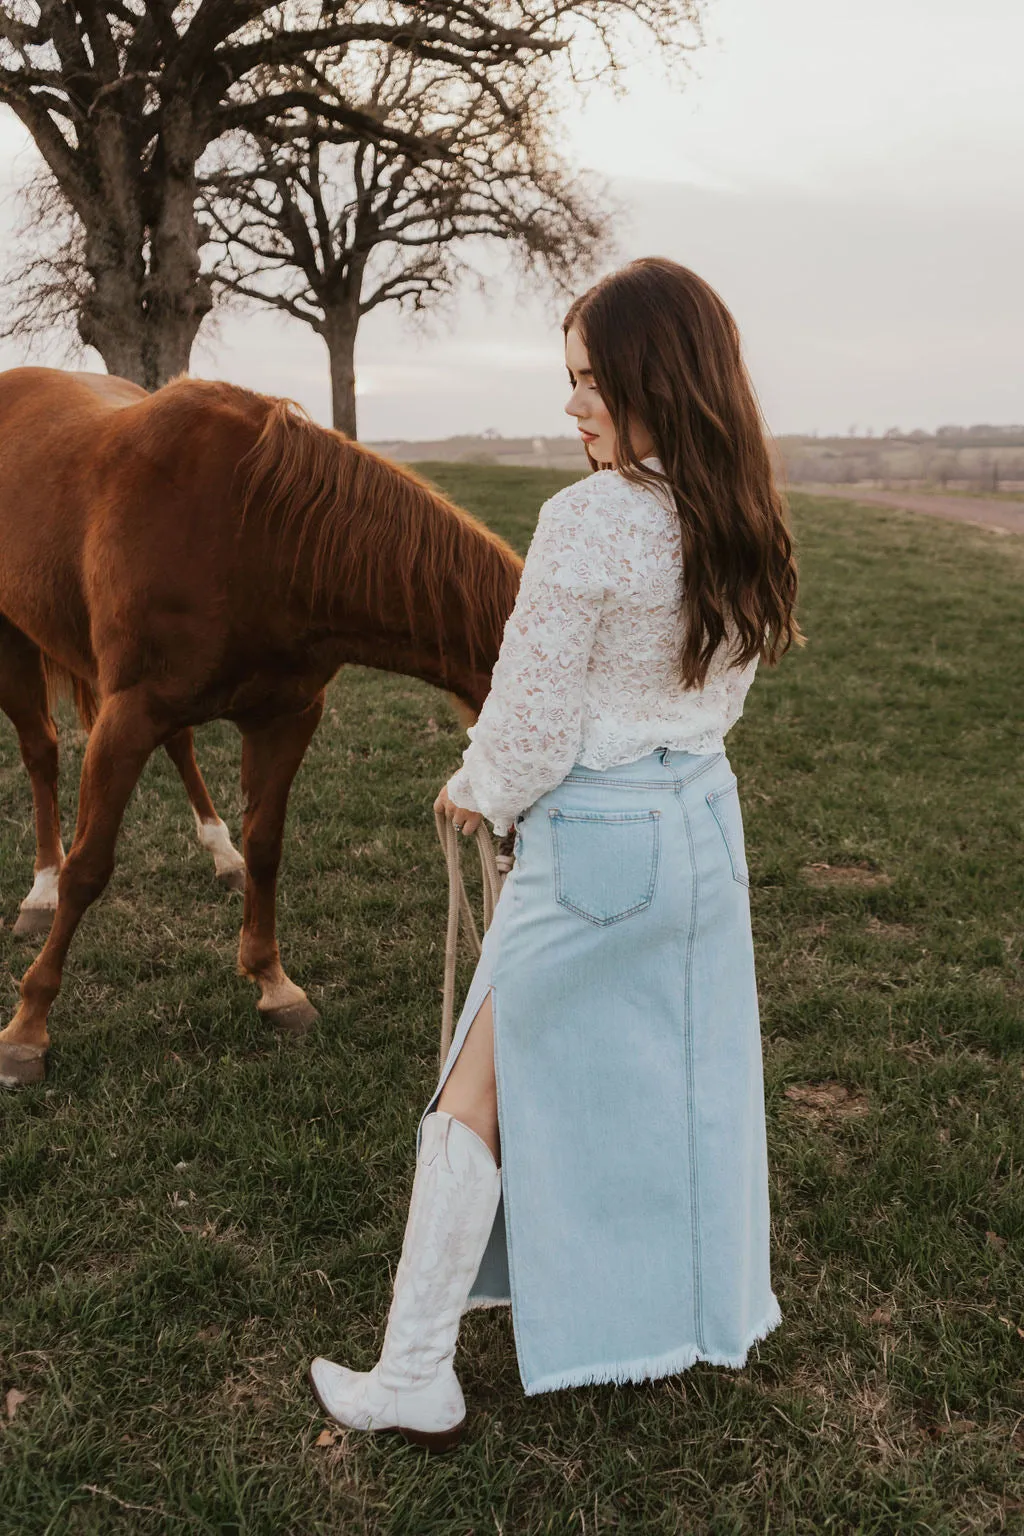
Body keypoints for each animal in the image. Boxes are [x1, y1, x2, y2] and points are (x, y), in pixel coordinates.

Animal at [0, 365, 525, 1087]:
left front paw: (274, 984)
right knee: (41, 754)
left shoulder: (285, 717)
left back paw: (220, 855)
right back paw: (40, 891)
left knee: (179, 746)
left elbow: (268, 848)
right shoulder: (126, 714)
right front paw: (27, 1027)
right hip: (16, 645)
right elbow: (90, 868)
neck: (262, 533)